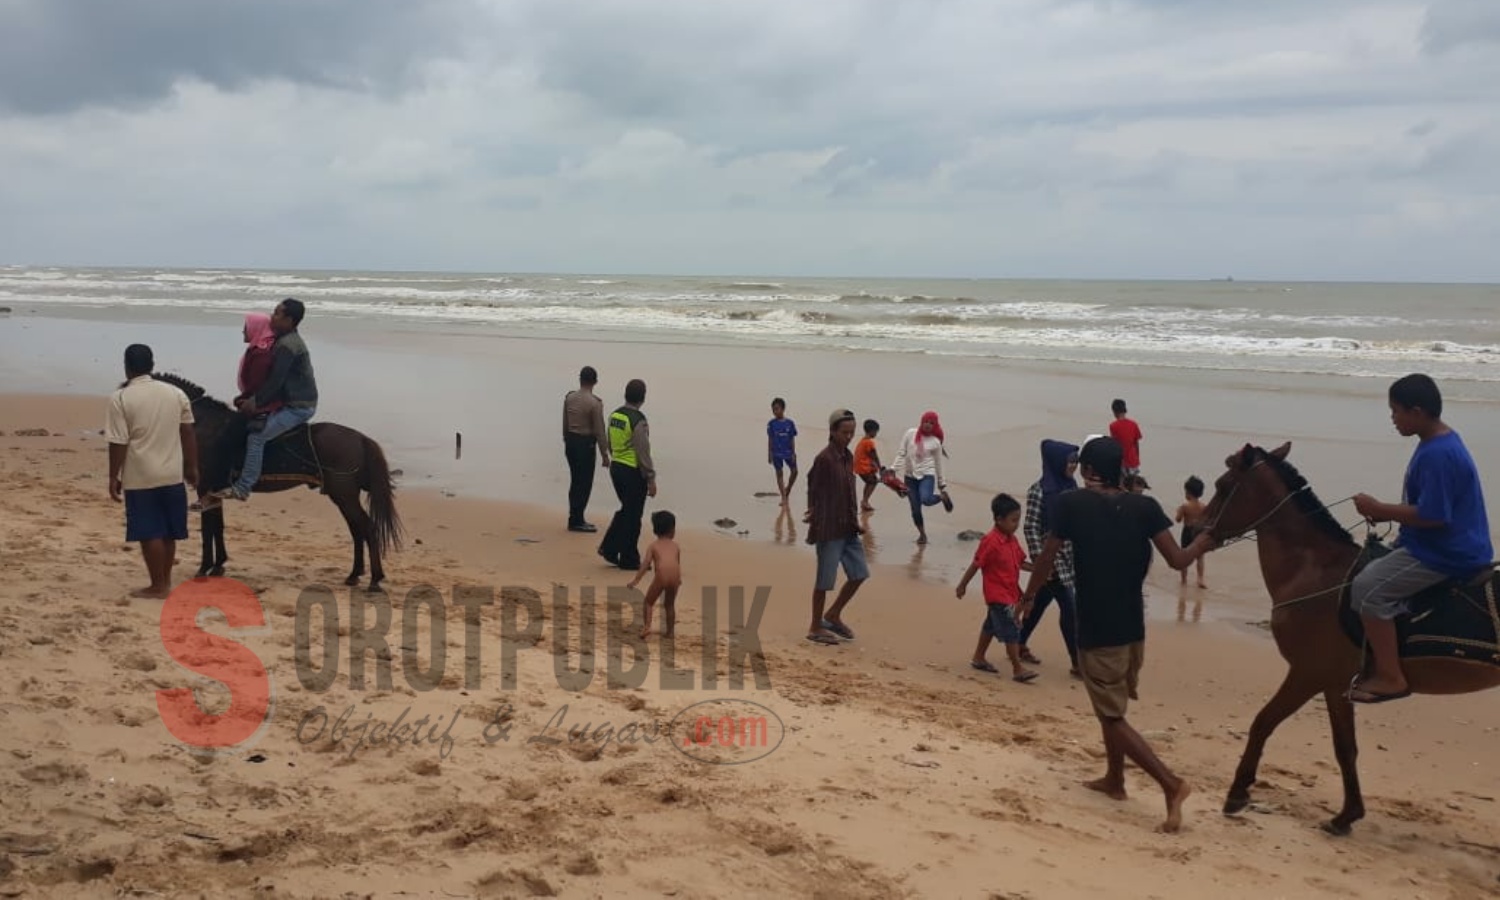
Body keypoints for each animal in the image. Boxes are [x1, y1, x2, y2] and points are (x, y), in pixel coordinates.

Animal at [152, 370, 405, 591]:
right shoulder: (214, 492)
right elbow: (218, 528)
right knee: (357, 530)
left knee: (367, 528)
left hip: (345, 496)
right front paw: (218, 566)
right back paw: (354, 575)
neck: (203, 423)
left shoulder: (205, 488)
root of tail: (361, 439)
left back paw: (375, 579)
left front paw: (205, 568)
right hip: (343, 496)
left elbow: (208, 530)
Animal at [1200, 444, 1500, 834]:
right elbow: (1346, 748)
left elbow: (1263, 723)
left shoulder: (1308, 674)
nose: (1194, 530)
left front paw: (1237, 793)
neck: (1314, 573)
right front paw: (1347, 815)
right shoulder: (1334, 682)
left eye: (1223, 486)